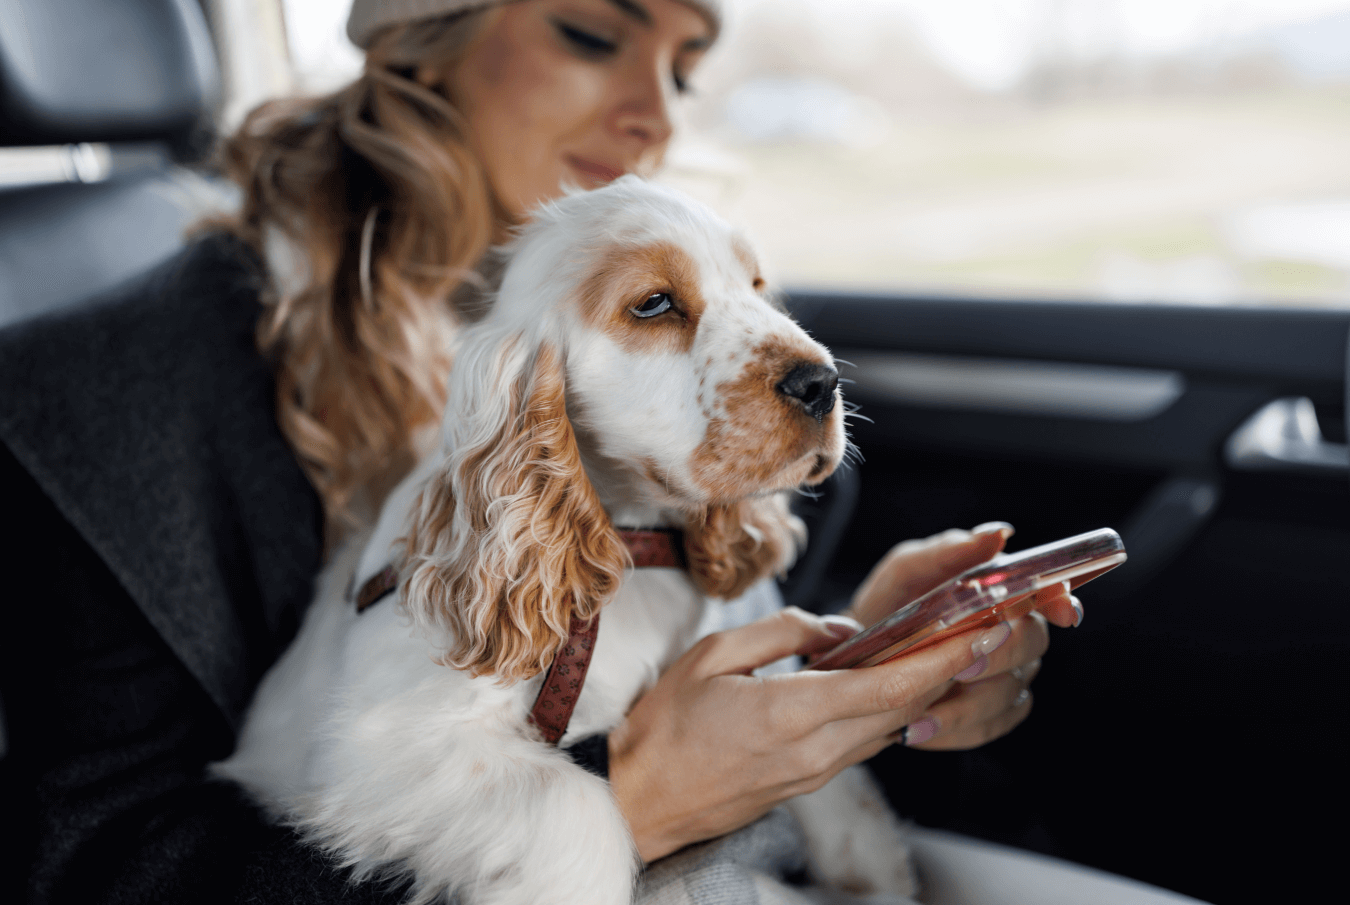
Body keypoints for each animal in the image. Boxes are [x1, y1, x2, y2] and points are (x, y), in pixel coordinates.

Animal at [218, 176, 918, 905]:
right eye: (654, 303)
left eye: (755, 285)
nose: (821, 382)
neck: (634, 542)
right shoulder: (377, 749)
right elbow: (578, 809)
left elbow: (842, 788)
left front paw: (878, 866)